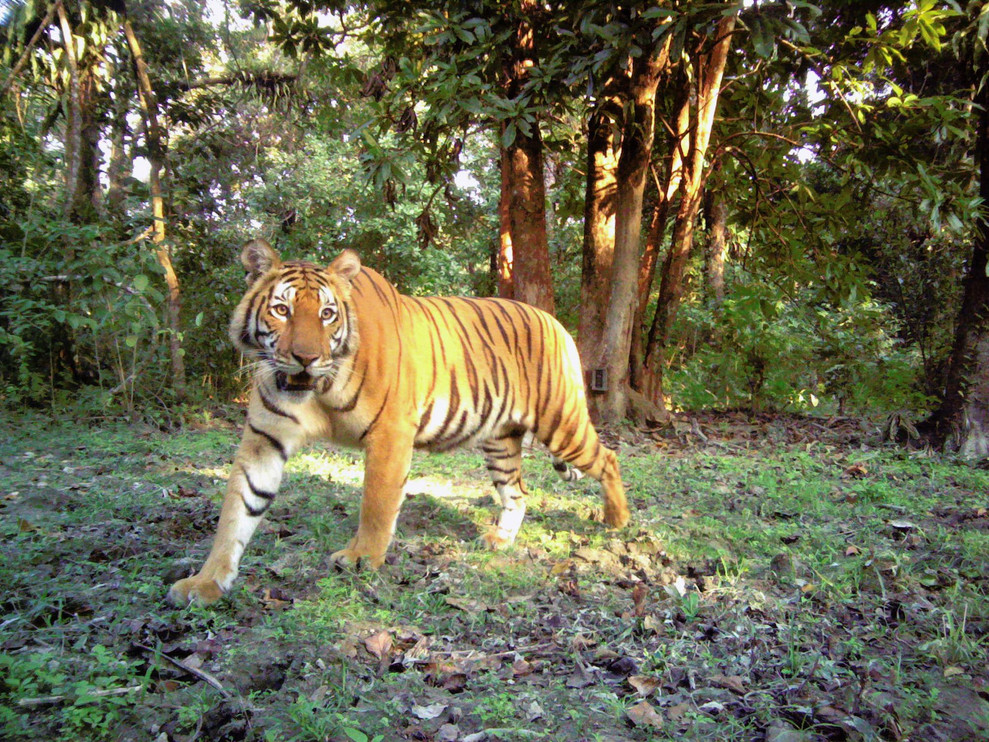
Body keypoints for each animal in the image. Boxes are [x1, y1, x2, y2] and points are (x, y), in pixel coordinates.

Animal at [167, 239, 629, 605]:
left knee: (608, 458)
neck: (316, 388)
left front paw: (360, 558)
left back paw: (617, 519)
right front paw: (204, 583)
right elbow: (236, 512)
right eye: (281, 310)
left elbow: (376, 503)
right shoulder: (264, 440)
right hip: (500, 440)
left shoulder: (390, 432)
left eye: (327, 315)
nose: (306, 358)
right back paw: (500, 539)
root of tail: (556, 323)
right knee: (517, 492)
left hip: (560, 423)